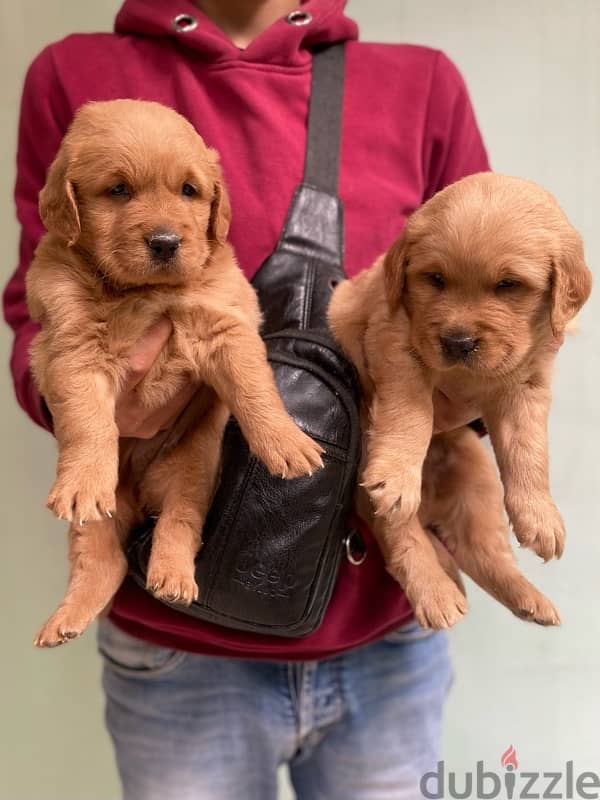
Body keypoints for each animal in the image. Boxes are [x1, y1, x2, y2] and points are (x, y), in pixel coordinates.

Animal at [27, 101, 324, 648]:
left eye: (189, 190)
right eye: (118, 190)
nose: (165, 242)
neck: (142, 292)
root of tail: (138, 498)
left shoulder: (226, 325)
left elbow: (254, 389)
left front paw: (287, 443)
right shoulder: (70, 349)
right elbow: (87, 422)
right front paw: (83, 477)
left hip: (189, 472)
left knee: (179, 524)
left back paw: (172, 577)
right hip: (102, 516)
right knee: (101, 559)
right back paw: (65, 620)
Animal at [330, 172, 592, 628]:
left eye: (508, 285)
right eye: (435, 278)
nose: (458, 341)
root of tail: (430, 506)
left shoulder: (528, 383)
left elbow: (529, 448)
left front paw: (540, 514)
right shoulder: (394, 340)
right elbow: (412, 414)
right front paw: (397, 473)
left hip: (476, 478)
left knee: (483, 552)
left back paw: (529, 600)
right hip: (370, 478)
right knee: (404, 538)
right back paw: (436, 593)